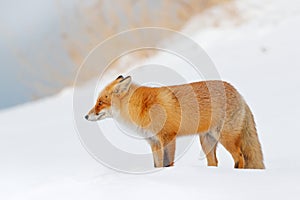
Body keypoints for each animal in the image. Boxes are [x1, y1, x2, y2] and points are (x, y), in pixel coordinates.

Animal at [85, 75, 264, 169]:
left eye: (100, 102)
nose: (85, 117)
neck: (142, 108)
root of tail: (239, 93)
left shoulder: (167, 137)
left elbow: (167, 163)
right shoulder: (153, 142)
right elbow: (157, 165)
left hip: (225, 138)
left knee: (240, 157)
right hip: (207, 141)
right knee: (214, 162)